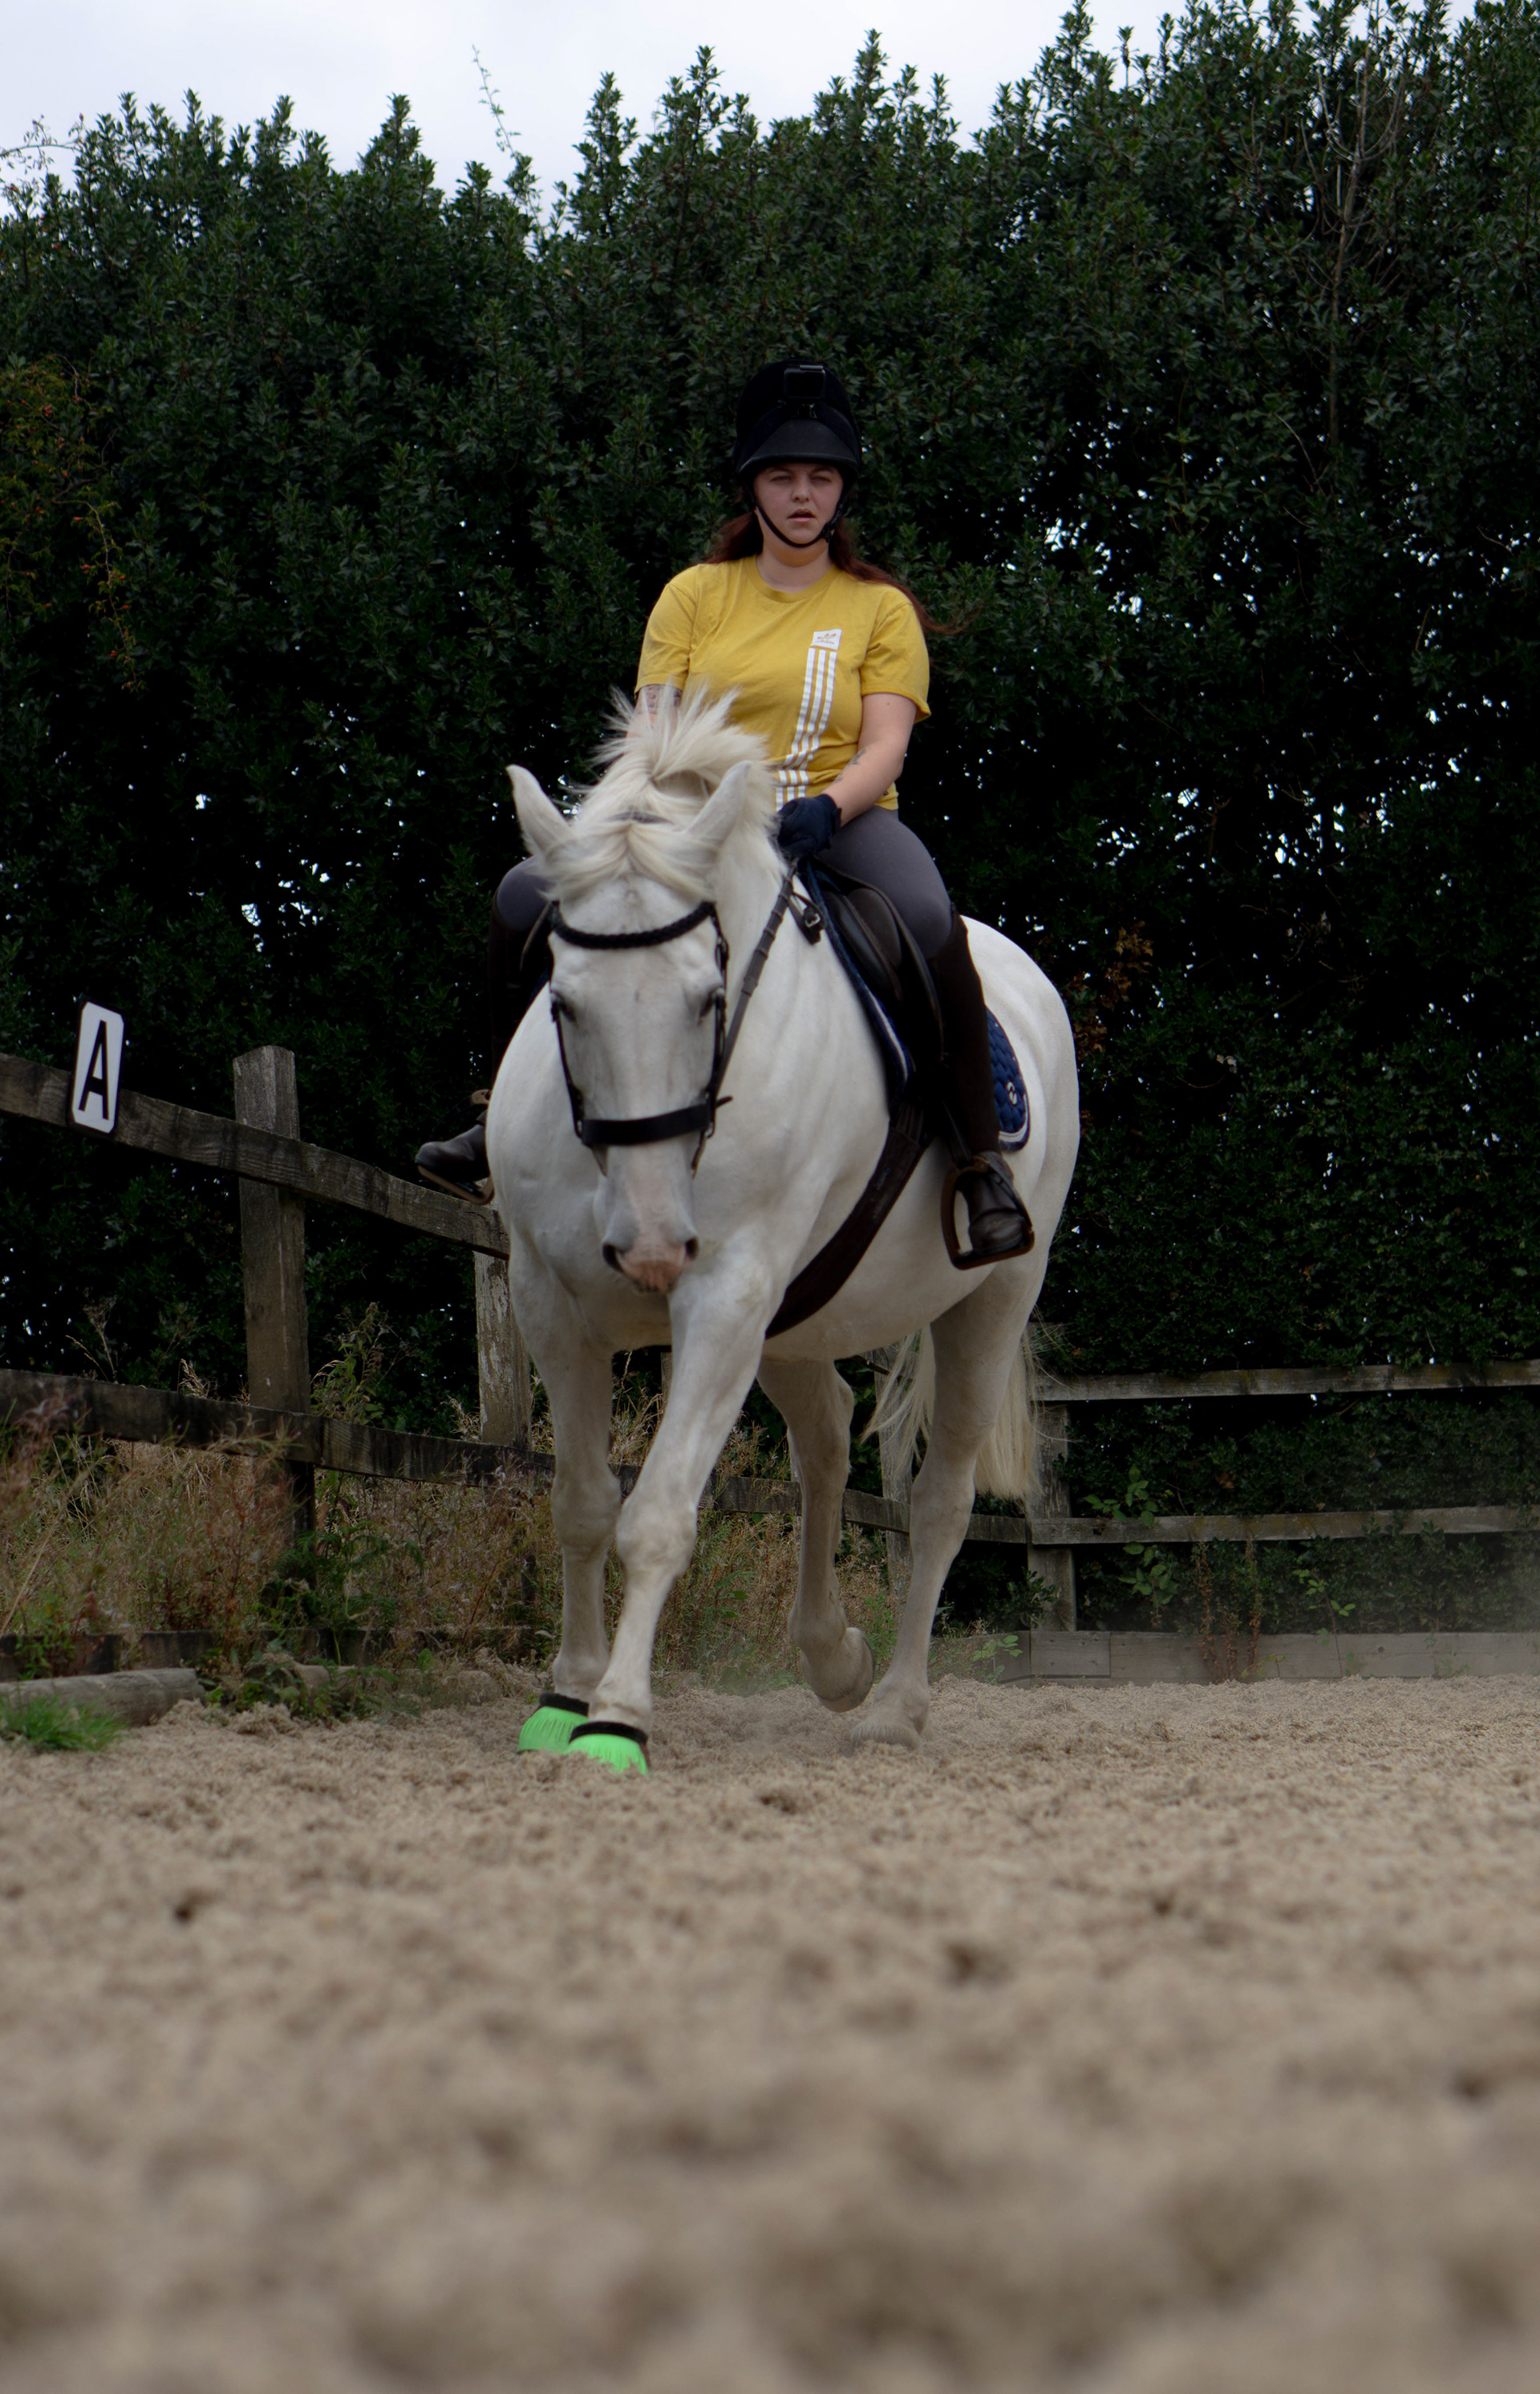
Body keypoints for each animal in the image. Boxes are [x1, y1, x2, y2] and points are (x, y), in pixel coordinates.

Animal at [487, 693, 1079, 1767]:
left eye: (709, 997)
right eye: (562, 1001)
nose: (650, 1244)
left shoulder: (725, 1291)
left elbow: (659, 1512)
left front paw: (616, 1718)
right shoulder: (549, 1302)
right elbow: (582, 1504)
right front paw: (564, 1693)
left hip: (992, 1297)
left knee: (939, 1499)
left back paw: (893, 1706)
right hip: (795, 1321)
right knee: (828, 1439)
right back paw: (834, 1657)